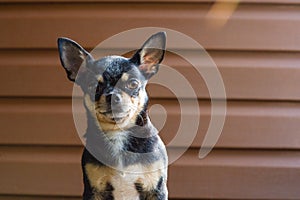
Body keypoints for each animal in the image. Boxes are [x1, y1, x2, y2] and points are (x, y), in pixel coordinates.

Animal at [57, 32, 168, 199]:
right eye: (93, 86)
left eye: (133, 84)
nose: (112, 96)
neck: (118, 132)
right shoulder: (94, 191)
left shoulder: (156, 189)